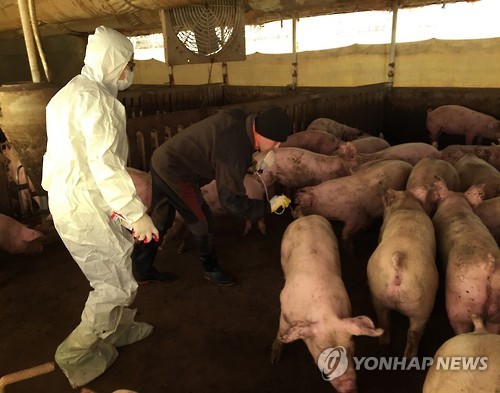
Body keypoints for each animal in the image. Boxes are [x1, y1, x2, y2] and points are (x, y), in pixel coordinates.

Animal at [270, 214, 382, 392]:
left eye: (351, 348)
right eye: (322, 350)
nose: (349, 386)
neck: (323, 312)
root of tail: (305, 217)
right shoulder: (285, 313)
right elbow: (281, 333)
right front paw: (274, 359)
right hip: (284, 247)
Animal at [366, 188, 436, 356]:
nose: (386, 190)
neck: (406, 206)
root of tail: (399, 258)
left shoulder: (381, 231)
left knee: (389, 324)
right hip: (416, 306)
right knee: (408, 332)